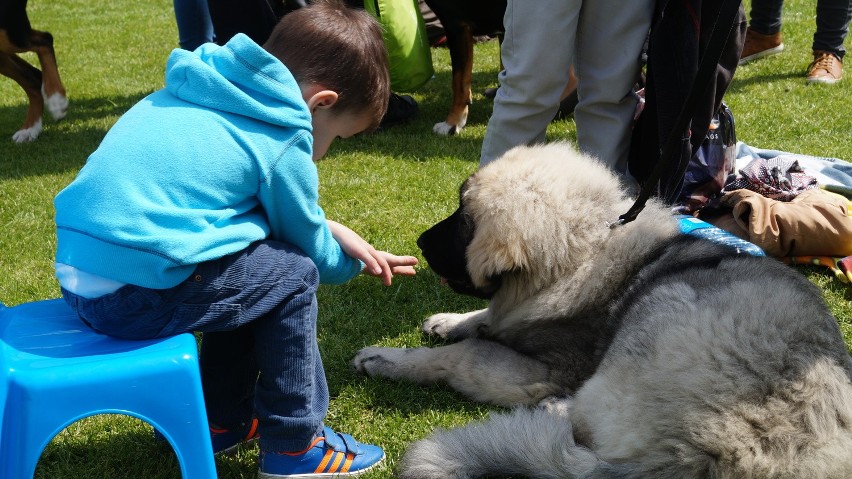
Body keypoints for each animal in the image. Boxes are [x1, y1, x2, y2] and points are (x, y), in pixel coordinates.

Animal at [352, 143, 852, 479]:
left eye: (462, 221)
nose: (419, 242)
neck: (585, 252)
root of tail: (685, 461)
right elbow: (488, 320)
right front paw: (448, 322)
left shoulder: (547, 368)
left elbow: (465, 353)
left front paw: (387, 359)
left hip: (661, 309)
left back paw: (552, 409)